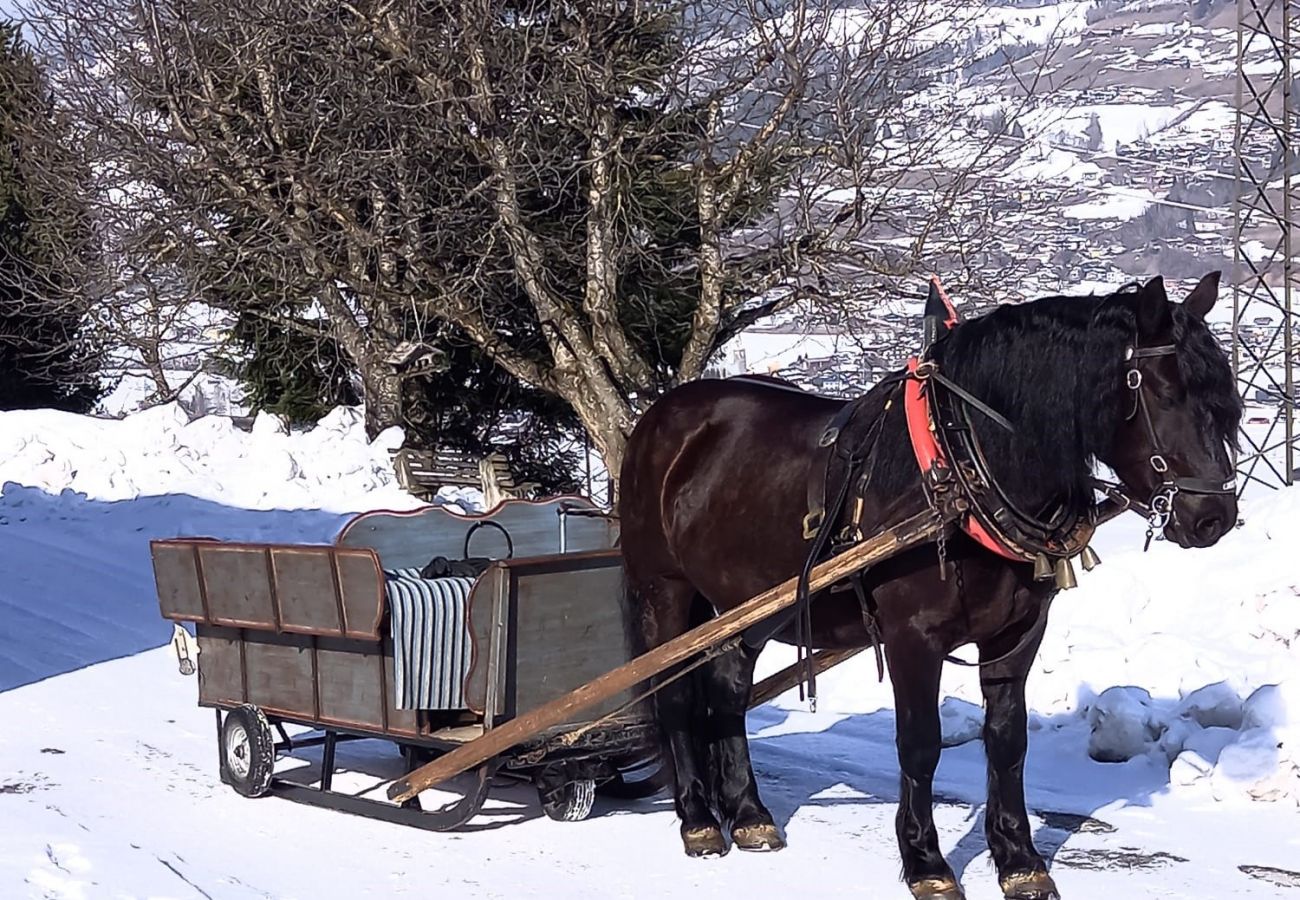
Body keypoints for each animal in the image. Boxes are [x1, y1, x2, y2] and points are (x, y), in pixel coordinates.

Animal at [616, 274, 1237, 900]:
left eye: (1223, 399)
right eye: (1164, 393)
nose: (1214, 517)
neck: (963, 471)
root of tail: (661, 416)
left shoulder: (1017, 634)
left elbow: (1007, 742)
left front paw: (1019, 859)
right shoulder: (911, 638)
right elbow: (920, 743)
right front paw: (926, 862)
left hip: (748, 606)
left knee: (727, 690)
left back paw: (748, 814)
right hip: (665, 591)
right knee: (674, 697)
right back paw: (698, 820)